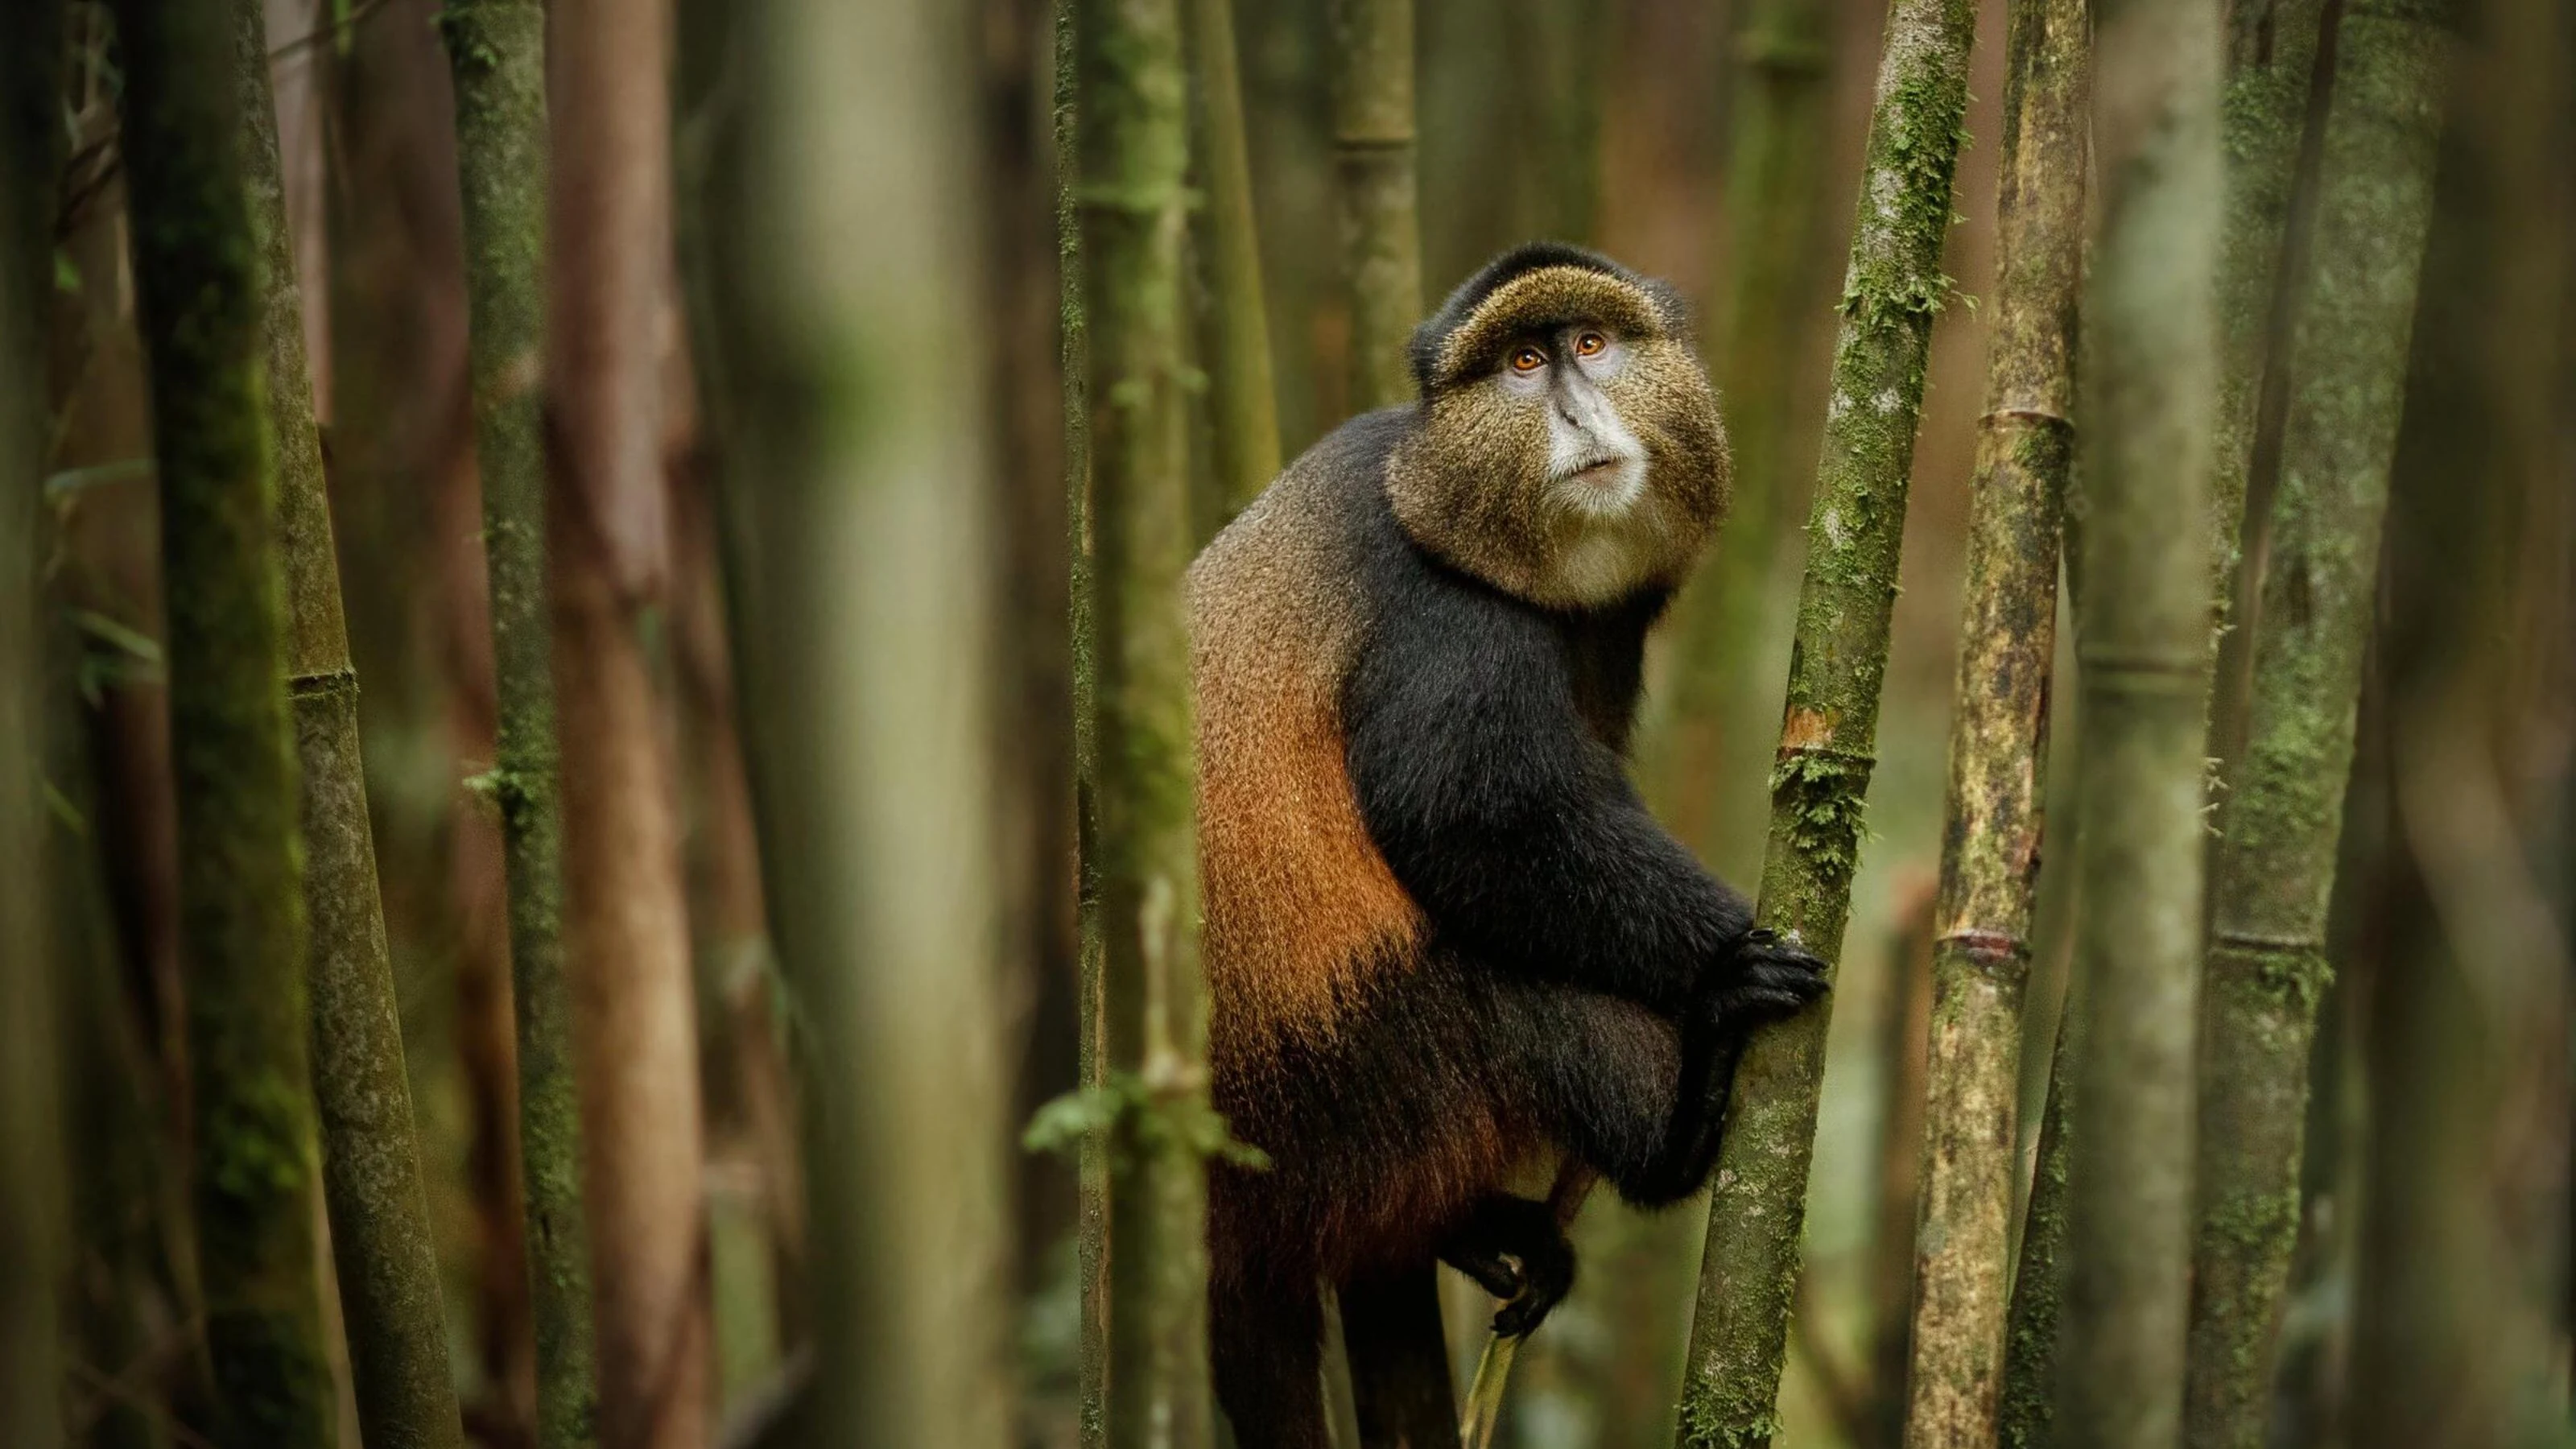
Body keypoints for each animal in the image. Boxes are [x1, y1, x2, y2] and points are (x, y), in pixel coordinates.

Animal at [1188, 241, 1830, 1448]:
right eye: (1523, 365)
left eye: (1590, 344)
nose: (1576, 410)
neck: (1428, 485)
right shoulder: (1444, 622)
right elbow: (1471, 823)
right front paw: (1724, 958)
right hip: (1347, 1067)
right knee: (1516, 997)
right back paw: (1680, 1121)